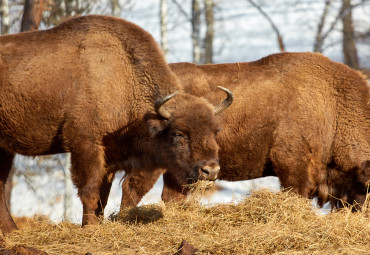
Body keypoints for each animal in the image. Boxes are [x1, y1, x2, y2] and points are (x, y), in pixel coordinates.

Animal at [0, 13, 234, 233]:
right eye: (179, 134)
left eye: (215, 131)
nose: (210, 170)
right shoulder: (85, 144)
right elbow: (90, 190)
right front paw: (90, 228)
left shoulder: (111, 158)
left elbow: (102, 197)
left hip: (5, 150)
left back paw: (12, 232)